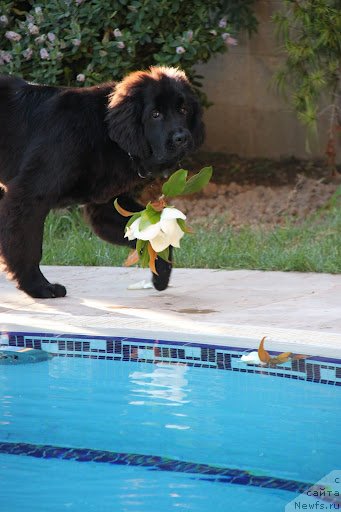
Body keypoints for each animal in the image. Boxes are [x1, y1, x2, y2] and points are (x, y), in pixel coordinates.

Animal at [0, 68, 202, 300]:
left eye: (183, 110)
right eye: (155, 114)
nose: (182, 138)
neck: (104, 131)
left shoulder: (105, 204)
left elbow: (149, 232)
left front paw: (161, 272)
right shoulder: (28, 196)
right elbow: (28, 247)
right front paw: (38, 287)